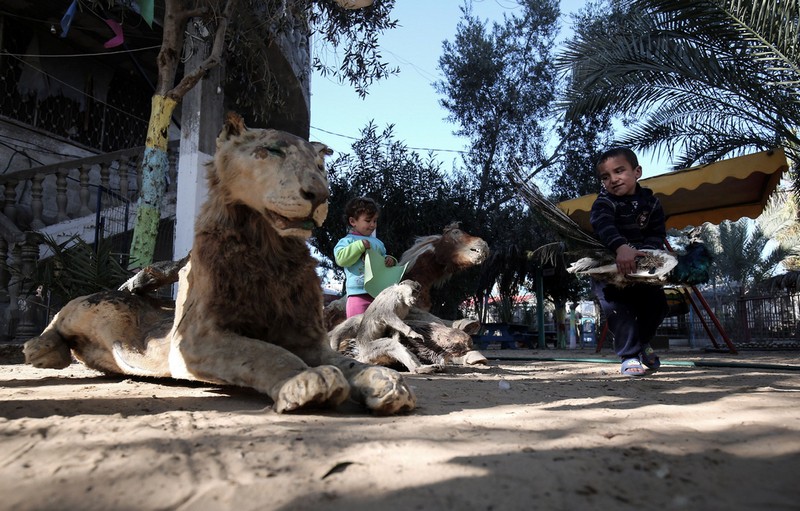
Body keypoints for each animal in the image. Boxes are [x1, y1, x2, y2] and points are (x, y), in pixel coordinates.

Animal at [22, 113, 416, 416]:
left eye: (320, 165)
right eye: (270, 151)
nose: (320, 194)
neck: (270, 249)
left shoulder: (307, 338)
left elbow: (348, 361)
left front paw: (383, 380)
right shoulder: (196, 339)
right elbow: (265, 352)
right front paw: (307, 379)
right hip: (89, 303)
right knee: (58, 315)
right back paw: (41, 349)